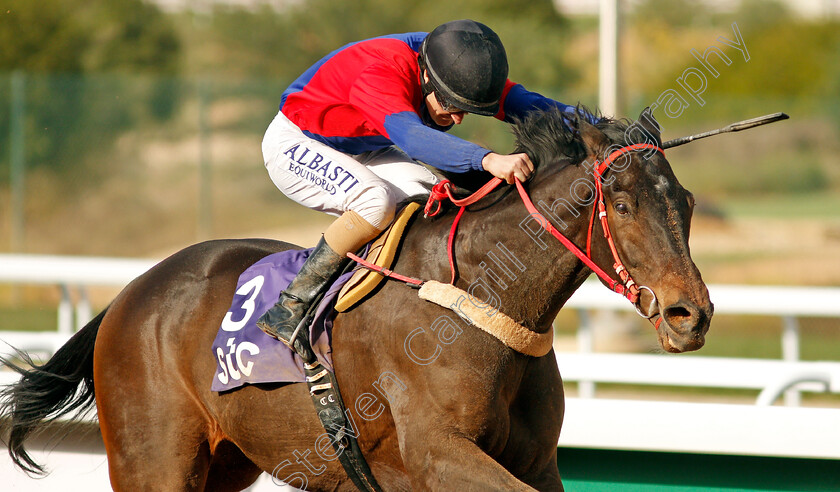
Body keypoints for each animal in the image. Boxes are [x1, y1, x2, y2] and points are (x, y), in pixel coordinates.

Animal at [0, 108, 708, 492]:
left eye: (687, 201)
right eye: (621, 204)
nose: (691, 314)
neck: (483, 299)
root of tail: (130, 294)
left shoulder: (536, 461)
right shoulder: (436, 455)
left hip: (225, 460)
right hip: (152, 459)